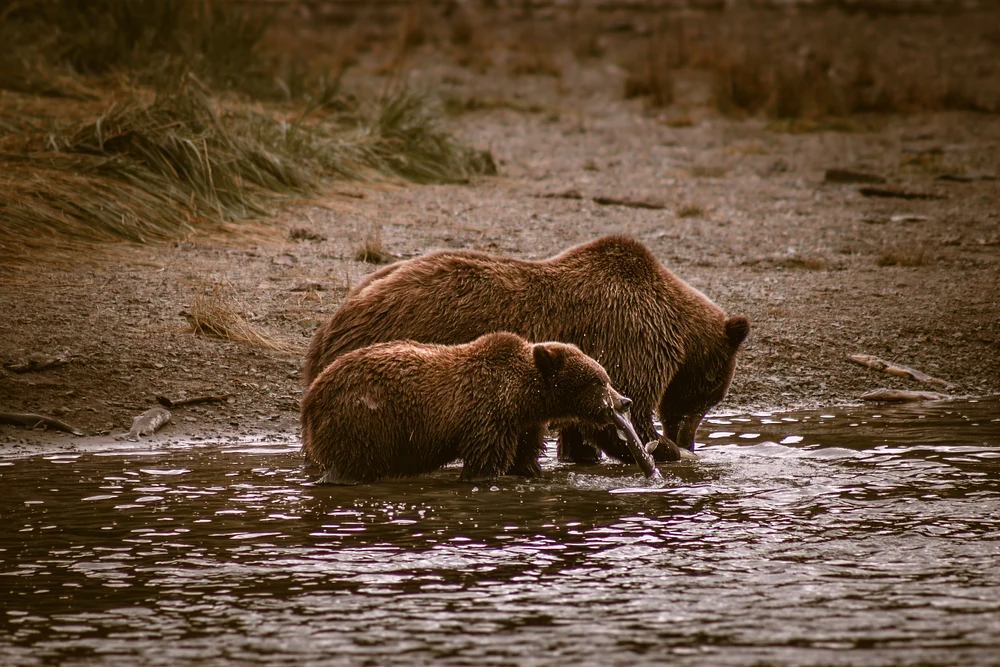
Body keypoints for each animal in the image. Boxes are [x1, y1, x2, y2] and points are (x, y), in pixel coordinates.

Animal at [300, 332, 646, 484]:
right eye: (597, 381)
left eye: (606, 376)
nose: (624, 401)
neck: (523, 397)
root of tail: (312, 394)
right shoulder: (487, 415)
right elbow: (484, 463)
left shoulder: (522, 425)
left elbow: (524, 457)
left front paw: (532, 472)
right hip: (364, 417)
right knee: (355, 463)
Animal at [304, 235, 750, 465]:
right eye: (710, 397)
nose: (689, 440)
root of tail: (333, 321)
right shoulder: (629, 338)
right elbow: (627, 412)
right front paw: (658, 447)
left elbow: (585, 426)